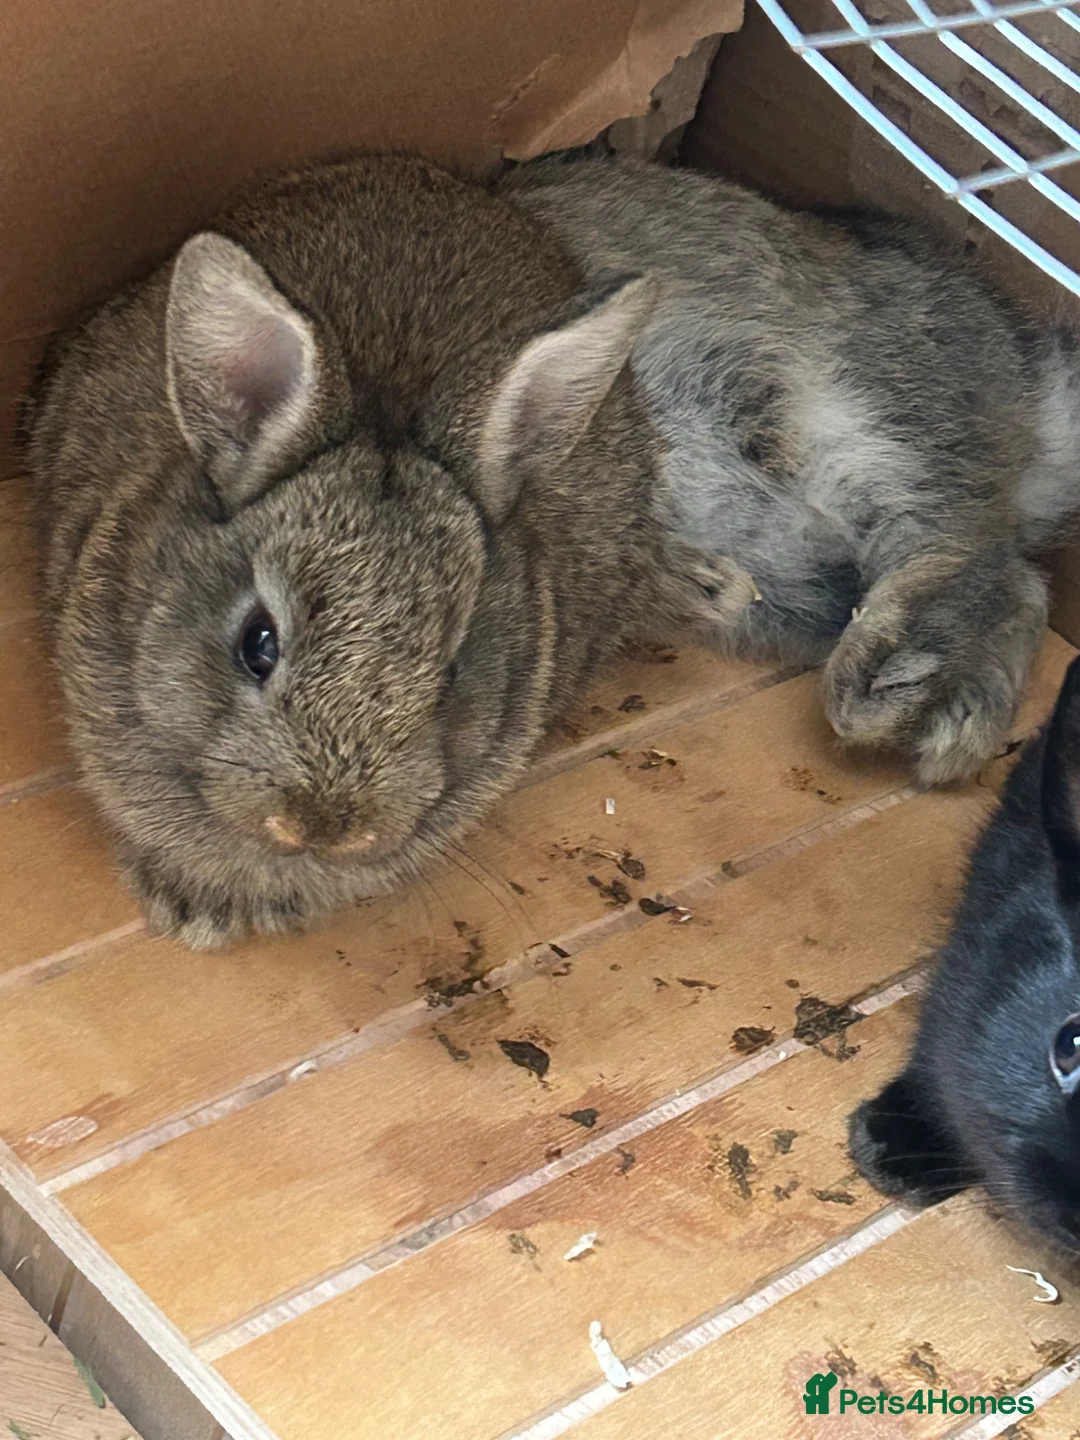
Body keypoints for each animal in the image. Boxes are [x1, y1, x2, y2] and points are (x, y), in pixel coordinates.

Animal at [24, 151, 1080, 947]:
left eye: (452, 674)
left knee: (975, 551)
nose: (321, 824)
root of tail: (1025, 372)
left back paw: (902, 698)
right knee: (1007, 576)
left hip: (868, 418)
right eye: (256, 645)